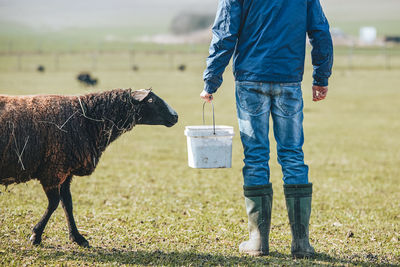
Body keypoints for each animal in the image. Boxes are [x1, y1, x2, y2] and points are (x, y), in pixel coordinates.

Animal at [0, 89, 178, 248]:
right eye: (151, 100)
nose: (175, 116)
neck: (88, 119)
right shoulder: (53, 170)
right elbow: (54, 203)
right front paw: (36, 235)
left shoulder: (65, 170)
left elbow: (67, 204)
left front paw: (78, 238)